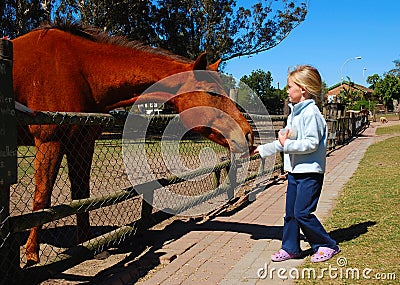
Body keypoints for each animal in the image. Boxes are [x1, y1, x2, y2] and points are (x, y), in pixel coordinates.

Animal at [12, 23, 253, 266]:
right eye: (211, 92)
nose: (247, 135)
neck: (79, 70)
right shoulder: (50, 141)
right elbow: (42, 198)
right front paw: (31, 254)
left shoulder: (82, 143)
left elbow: (81, 195)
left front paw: (88, 245)